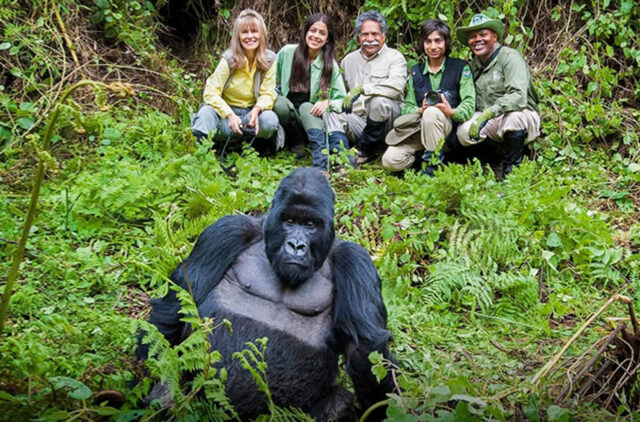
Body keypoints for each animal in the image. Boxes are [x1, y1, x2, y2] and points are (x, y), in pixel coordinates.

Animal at [139, 167, 398, 418]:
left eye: (310, 225)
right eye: (290, 221)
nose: (296, 246)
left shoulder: (355, 261)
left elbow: (365, 349)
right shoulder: (227, 231)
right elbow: (179, 301)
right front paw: (146, 377)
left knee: (340, 401)